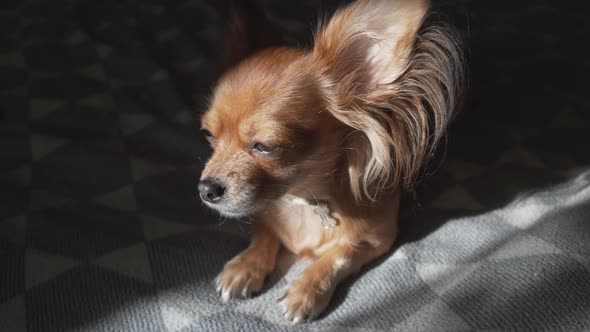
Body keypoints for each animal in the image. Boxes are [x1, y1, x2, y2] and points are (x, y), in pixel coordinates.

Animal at [199, 0, 468, 322]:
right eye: (208, 136)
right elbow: (264, 233)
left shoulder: (379, 238)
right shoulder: (264, 213)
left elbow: (340, 254)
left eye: (265, 146)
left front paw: (306, 289)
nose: (206, 189)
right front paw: (246, 266)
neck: (303, 200)